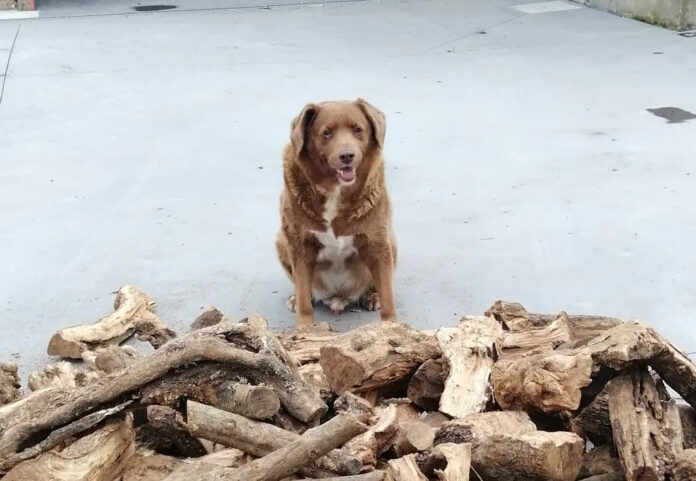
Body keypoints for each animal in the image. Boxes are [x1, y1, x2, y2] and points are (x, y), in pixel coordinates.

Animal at [278, 99, 396, 328]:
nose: (347, 156)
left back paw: (371, 296)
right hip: (281, 240)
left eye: (358, 130)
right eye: (326, 133)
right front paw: (304, 328)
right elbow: (304, 299)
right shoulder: (300, 246)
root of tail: (337, 298)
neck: (335, 192)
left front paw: (392, 328)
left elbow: (388, 298)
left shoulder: (378, 244)